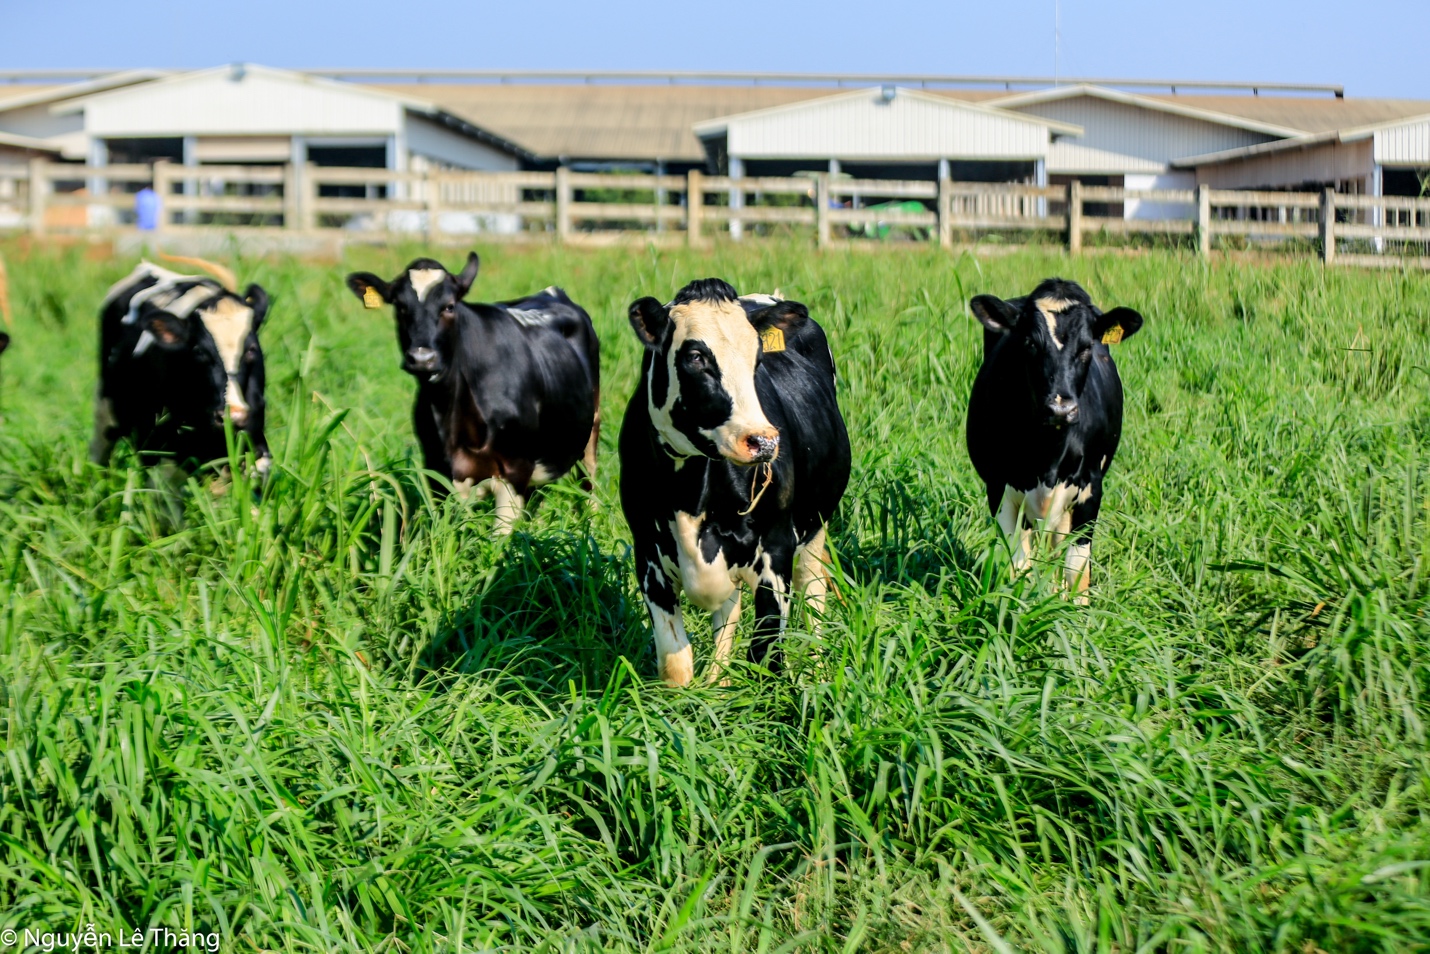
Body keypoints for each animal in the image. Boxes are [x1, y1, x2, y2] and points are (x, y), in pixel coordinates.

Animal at [345, 252, 600, 535]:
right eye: (400, 307)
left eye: (449, 306)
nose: (422, 358)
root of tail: (551, 293)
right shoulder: (438, 470)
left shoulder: (516, 470)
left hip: (592, 426)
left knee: (590, 479)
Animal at [620, 278, 850, 686]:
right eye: (696, 357)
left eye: (757, 359)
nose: (763, 441)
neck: (689, 495)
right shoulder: (647, 551)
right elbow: (676, 664)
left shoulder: (776, 546)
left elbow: (766, 653)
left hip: (816, 524)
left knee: (813, 593)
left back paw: (818, 667)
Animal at [965, 278, 1143, 601]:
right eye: (1030, 343)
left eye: (1086, 347)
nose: (1061, 408)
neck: (1047, 453)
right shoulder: (998, 488)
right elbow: (1017, 565)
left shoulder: (1090, 490)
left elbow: (1075, 570)